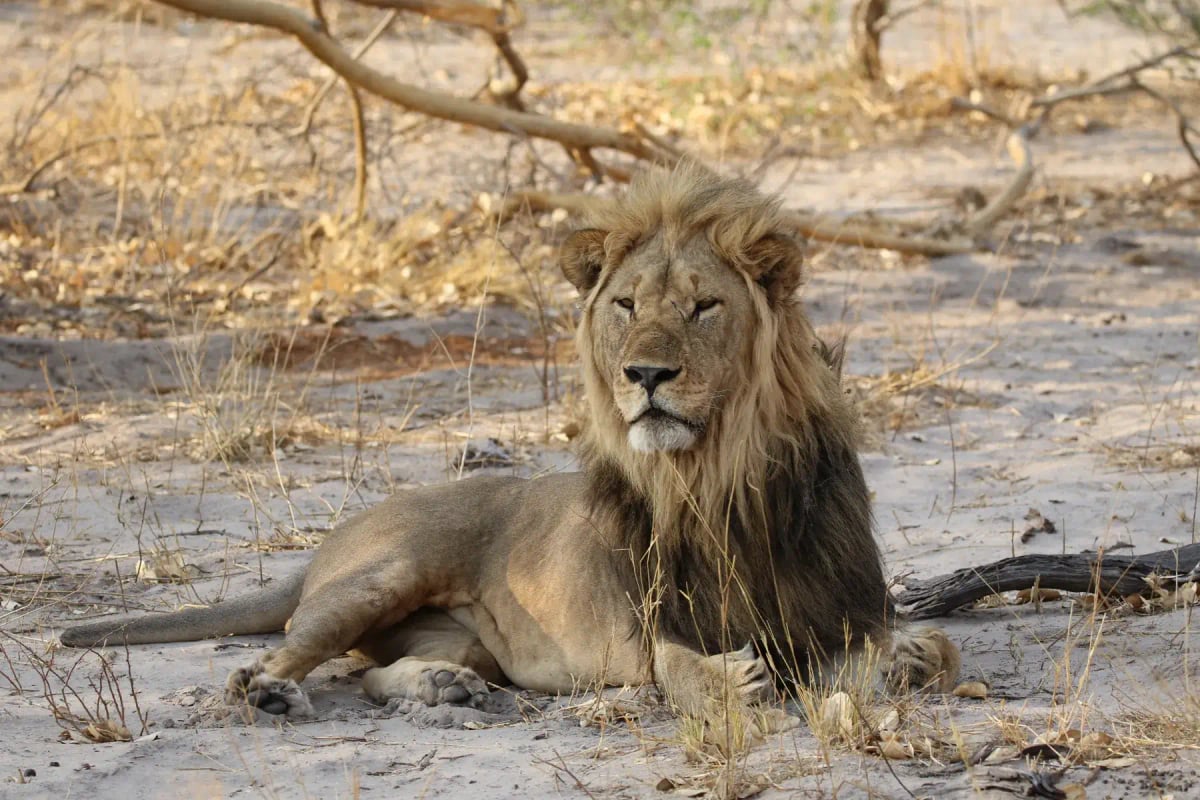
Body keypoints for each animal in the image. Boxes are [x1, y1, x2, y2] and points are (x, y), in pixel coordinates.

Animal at [60, 162, 959, 726]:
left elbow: (926, 651)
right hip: (386, 573)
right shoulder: (649, 626)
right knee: (282, 656)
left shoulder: (838, 604)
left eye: (705, 306)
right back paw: (272, 694)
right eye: (627, 305)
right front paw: (732, 679)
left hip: (453, 632)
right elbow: (681, 671)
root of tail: (325, 547)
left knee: (371, 672)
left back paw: (445, 686)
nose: (646, 374)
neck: (714, 474)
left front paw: (905, 657)